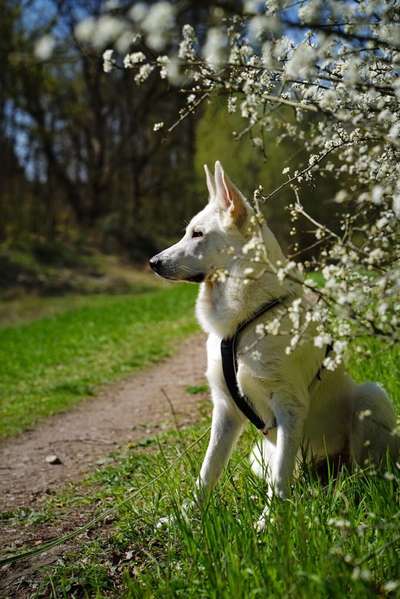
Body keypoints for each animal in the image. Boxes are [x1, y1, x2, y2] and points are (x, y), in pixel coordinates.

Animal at [149, 162, 396, 532]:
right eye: (188, 232)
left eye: (197, 234)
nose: (152, 262)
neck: (244, 321)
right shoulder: (225, 409)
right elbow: (208, 471)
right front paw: (187, 515)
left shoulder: (288, 405)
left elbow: (279, 478)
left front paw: (270, 524)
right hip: (259, 452)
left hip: (370, 396)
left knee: (363, 468)